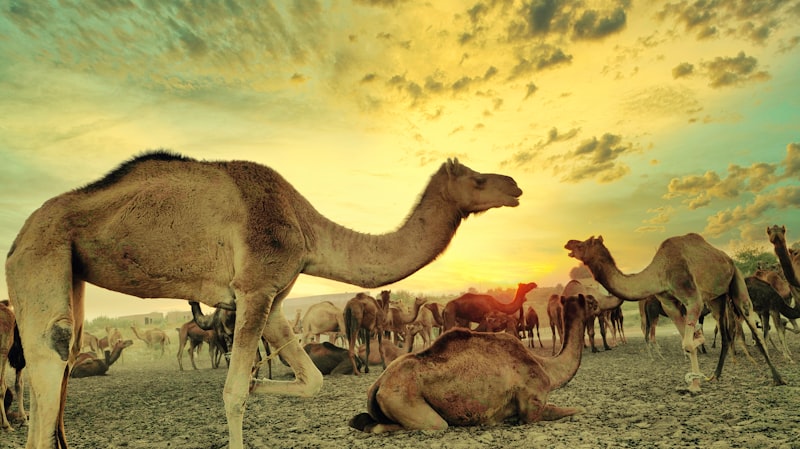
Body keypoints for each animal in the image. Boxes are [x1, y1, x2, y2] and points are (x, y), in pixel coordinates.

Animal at [5, 151, 520, 448]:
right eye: (476, 179)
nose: (514, 185)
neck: (304, 227)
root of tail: (17, 237)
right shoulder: (254, 287)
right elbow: (232, 394)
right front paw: (247, 387)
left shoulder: (272, 296)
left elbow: (311, 380)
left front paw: (258, 382)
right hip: (39, 257)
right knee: (51, 357)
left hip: (71, 274)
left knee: (62, 367)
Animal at [349, 294, 588, 433]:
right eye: (591, 302)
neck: (548, 368)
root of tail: (378, 384)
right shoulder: (532, 403)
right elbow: (574, 409)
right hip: (404, 399)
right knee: (434, 424)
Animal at [565, 233, 785, 393]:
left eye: (585, 243)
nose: (568, 243)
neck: (659, 273)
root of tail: (726, 257)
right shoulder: (669, 303)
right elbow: (687, 342)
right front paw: (695, 383)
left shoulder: (692, 297)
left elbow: (688, 343)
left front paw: (696, 370)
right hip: (717, 299)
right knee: (725, 332)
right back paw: (715, 375)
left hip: (736, 279)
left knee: (752, 324)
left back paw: (778, 378)